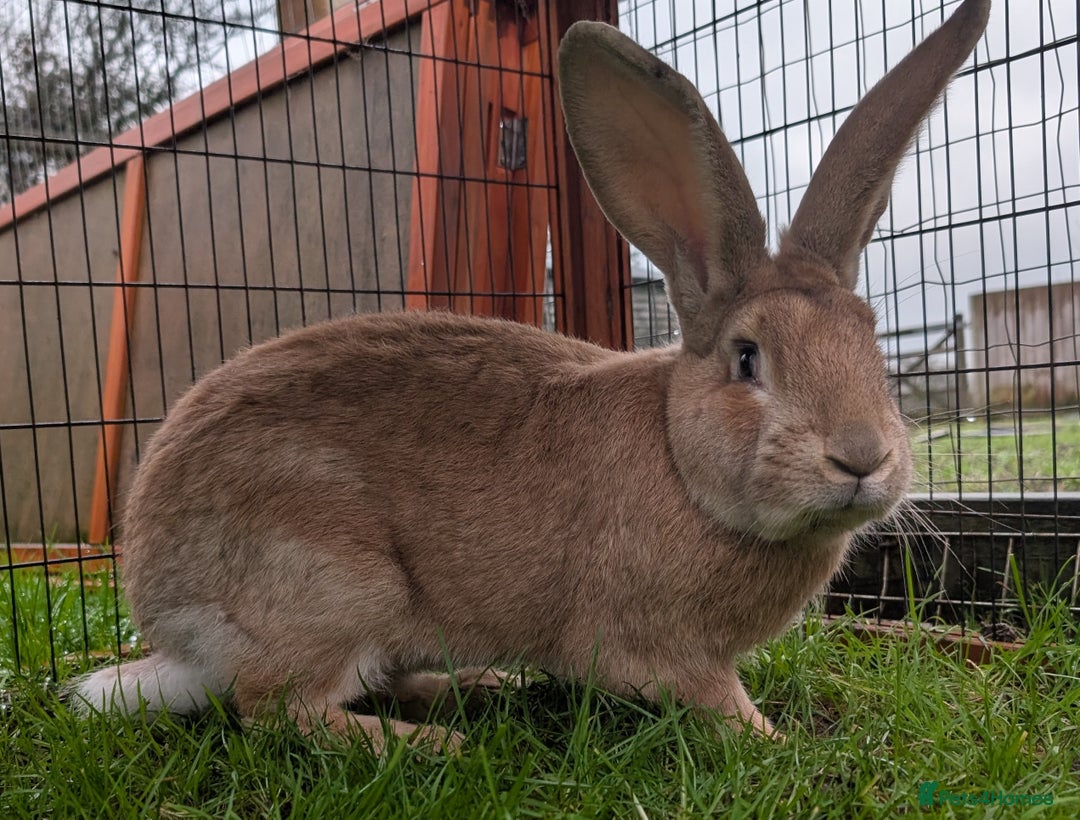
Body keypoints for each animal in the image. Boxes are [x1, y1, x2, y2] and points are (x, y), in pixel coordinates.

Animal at [70, 0, 990, 749]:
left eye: (873, 344)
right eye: (747, 357)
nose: (863, 457)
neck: (680, 462)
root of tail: (169, 620)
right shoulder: (664, 650)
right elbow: (717, 700)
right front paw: (776, 739)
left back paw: (480, 687)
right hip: (333, 584)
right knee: (276, 709)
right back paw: (425, 744)